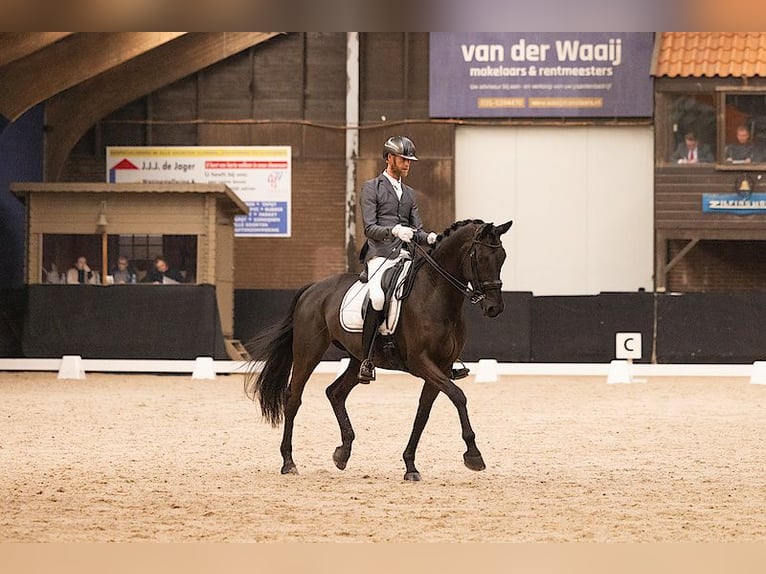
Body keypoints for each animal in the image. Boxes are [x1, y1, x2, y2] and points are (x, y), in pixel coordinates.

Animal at [243, 219, 512, 482]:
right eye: (481, 258)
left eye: (502, 258)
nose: (495, 308)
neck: (436, 294)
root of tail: (311, 289)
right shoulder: (421, 362)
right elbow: (458, 396)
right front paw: (474, 455)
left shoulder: (442, 366)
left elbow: (423, 412)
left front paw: (410, 465)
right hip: (308, 351)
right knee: (293, 398)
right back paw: (289, 462)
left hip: (357, 357)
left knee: (335, 393)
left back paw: (343, 453)